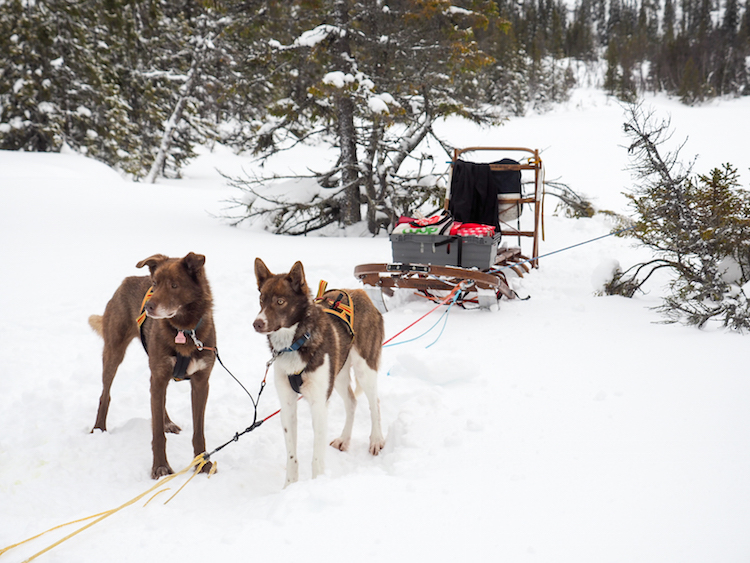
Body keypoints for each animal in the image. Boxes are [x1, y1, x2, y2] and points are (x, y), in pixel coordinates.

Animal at [90, 253, 217, 478]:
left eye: (174, 285)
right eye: (155, 284)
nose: (148, 307)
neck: (184, 330)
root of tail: (128, 280)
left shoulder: (201, 382)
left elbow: (198, 432)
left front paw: (202, 465)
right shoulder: (159, 376)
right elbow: (157, 433)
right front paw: (161, 467)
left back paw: (167, 422)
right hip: (114, 352)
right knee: (105, 394)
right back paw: (99, 428)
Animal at [254, 258, 388, 486]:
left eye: (280, 301)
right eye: (261, 299)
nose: (257, 323)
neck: (295, 343)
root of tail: (361, 293)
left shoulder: (318, 404)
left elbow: (316, 456)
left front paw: (316, 483)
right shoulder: (287, 406)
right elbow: (292, 456)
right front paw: (290, 486)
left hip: (364, 369)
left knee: (375, 403)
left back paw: (377, 440)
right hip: (338, 374)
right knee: (352, 402)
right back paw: (344, 439)